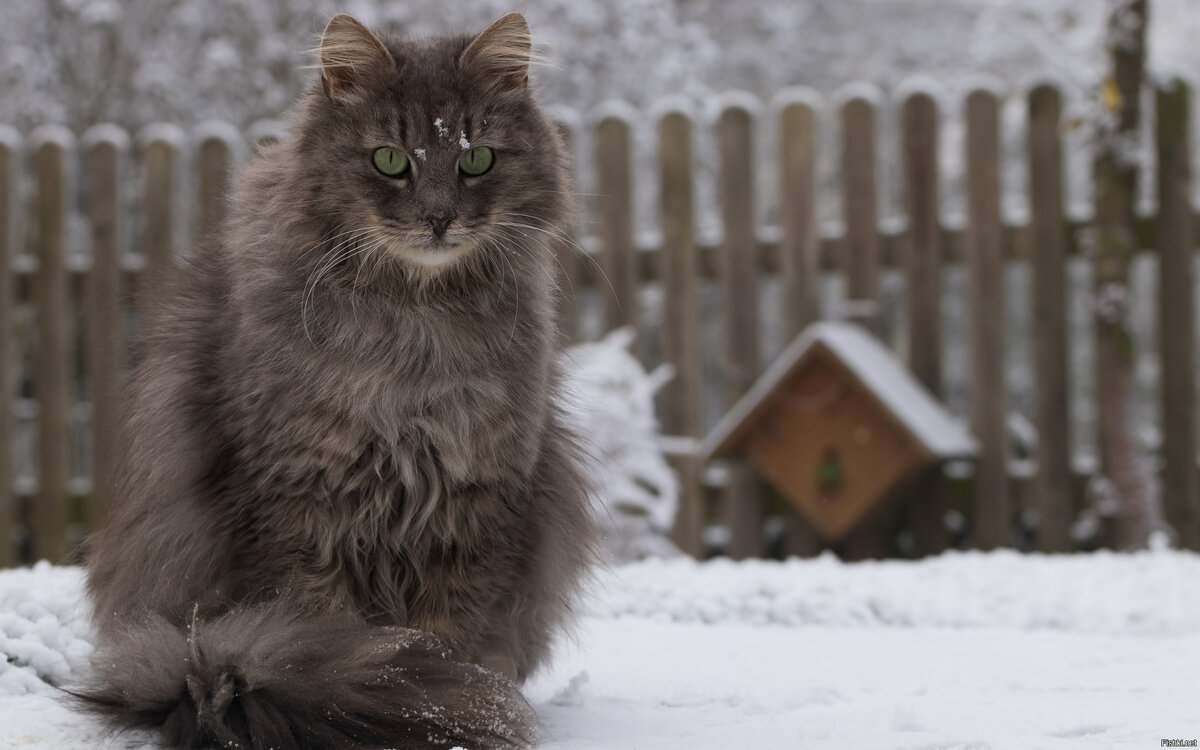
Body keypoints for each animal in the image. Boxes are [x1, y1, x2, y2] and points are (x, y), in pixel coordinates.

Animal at [79, 13, 595, 748]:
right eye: (390, 161)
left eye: (475, 161)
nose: (439, 217)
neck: (414, 334)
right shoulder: (299, 506)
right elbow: (328, 634)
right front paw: (402, 698)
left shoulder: (475, 502)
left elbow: (448, 637)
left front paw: (447, 706)